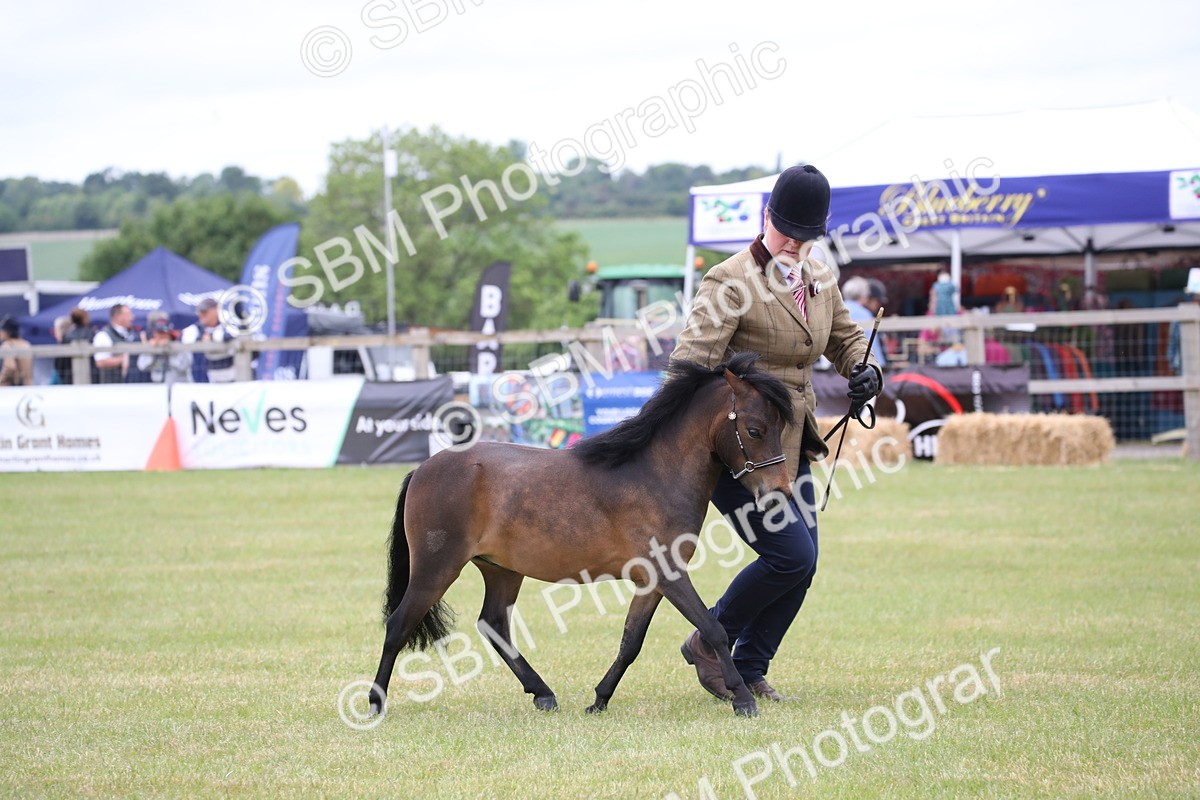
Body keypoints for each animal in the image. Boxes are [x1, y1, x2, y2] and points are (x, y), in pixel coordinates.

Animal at [368, 351, 796, 718]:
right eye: (755, 430)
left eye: (780, 427)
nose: (780, 493)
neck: (655, 474)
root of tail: (423, 468)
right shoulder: (669, 573)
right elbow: (714, 629)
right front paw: (742, 699)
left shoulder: (651, 581)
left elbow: (631, 642)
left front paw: (599, 700)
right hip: (436, 569)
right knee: (398, 625)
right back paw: (375, 703)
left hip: (501, 570)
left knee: (494, 625)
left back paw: (542, 693)